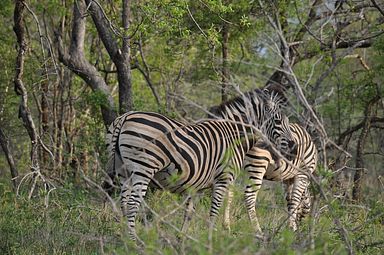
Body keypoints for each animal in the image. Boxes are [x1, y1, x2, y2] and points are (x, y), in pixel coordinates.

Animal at [103, 88, 296, 240]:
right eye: (278, 121)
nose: (294, 144)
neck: (233, 136)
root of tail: (125, 117)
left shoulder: (197, 185)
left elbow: (189, 213)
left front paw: (182, 238)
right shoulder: (223, 179)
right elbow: (214, 210)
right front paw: (211, 237)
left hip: (123, 170)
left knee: (124, 201)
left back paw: (125, 236)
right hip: (143, 168)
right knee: (132, 203)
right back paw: (134, 240)